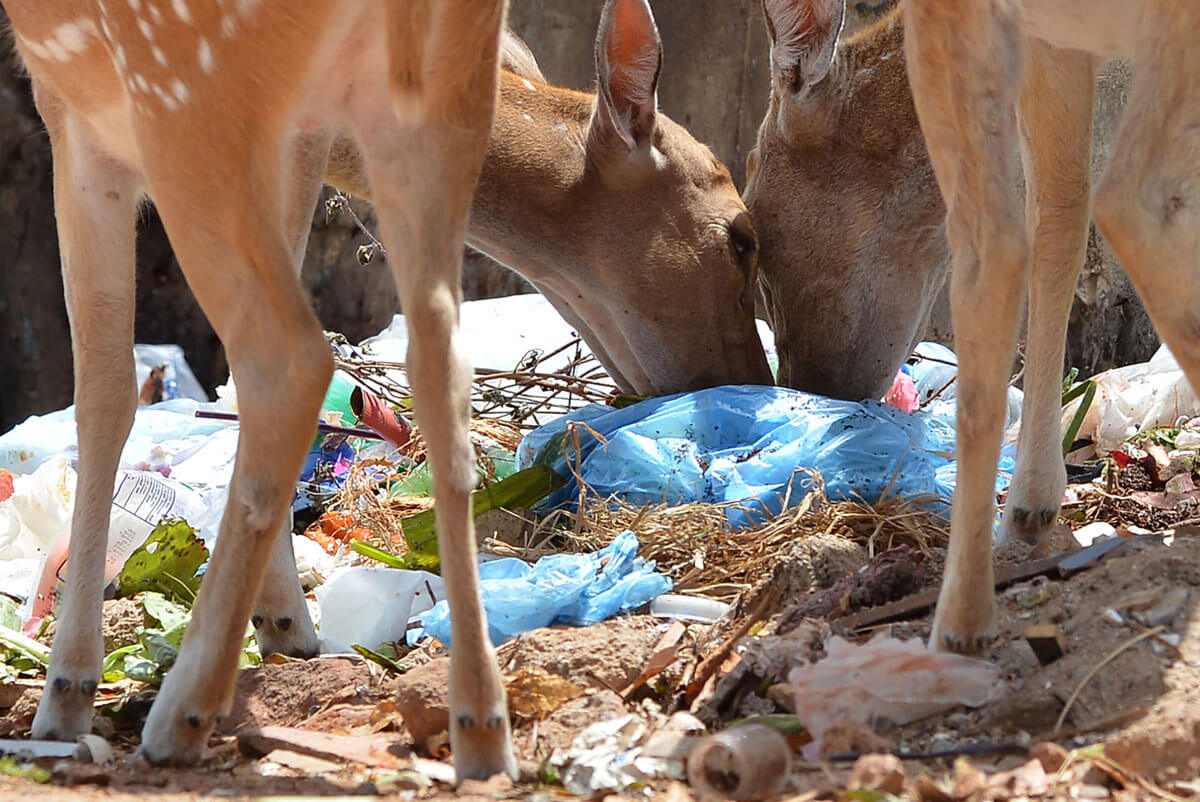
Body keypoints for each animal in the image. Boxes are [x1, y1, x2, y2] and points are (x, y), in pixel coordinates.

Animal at [744, 0, 1195, 653]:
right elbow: (1062, 210)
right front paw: (1033, 506)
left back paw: (961, 616)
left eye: (756, 226)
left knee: (1066, 221)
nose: (807, 388)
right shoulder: (1061, 44)